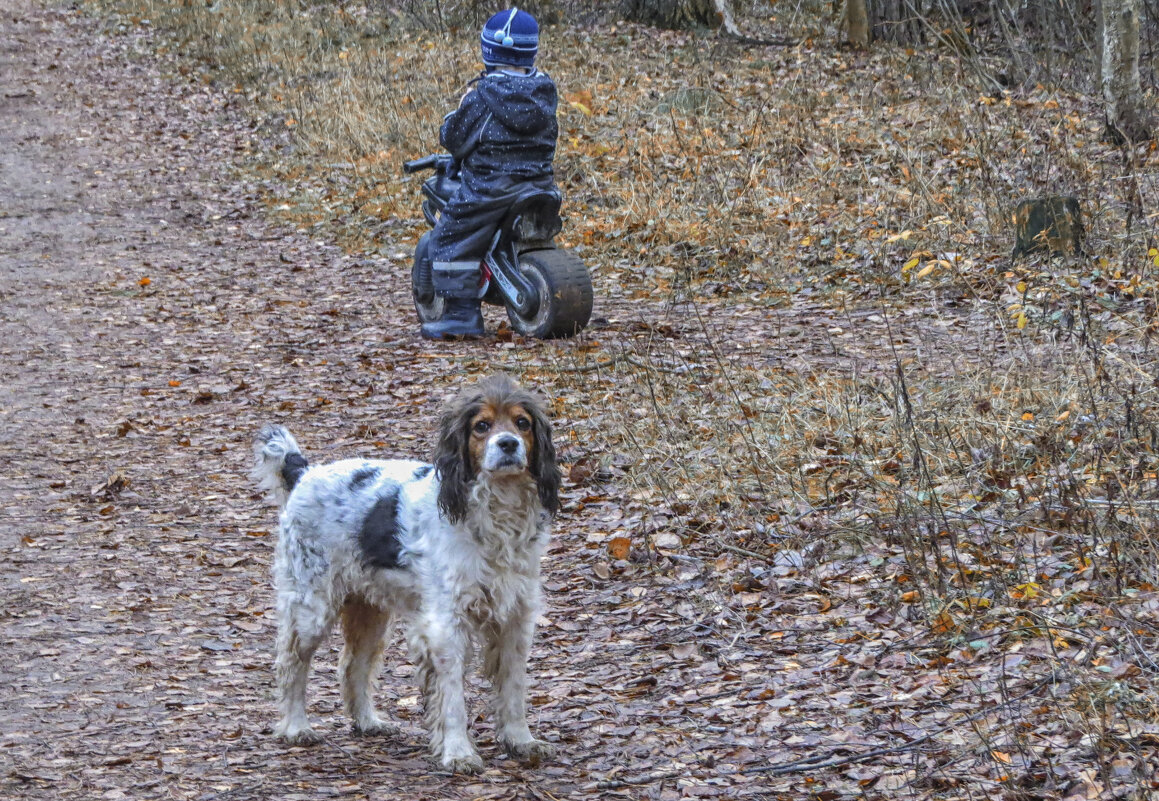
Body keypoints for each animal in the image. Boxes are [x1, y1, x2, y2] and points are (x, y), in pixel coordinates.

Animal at [252, 380, 560, 774]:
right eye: (482, 426)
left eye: (522, 423)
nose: (508, 444)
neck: (495, 514)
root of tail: (305, 472)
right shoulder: (446, 625)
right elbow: (453, 700)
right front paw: (459, 752)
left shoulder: (515, 619)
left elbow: (513, 688)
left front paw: (521, 740)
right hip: (311, 607)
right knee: (291, 663)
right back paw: (295, 727)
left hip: (369, 611)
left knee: (351, 665)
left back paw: (367, 721)